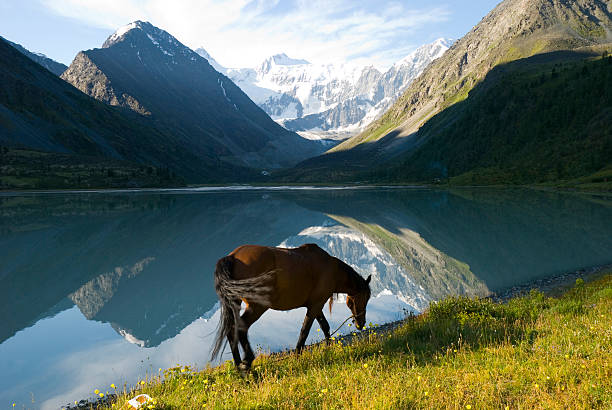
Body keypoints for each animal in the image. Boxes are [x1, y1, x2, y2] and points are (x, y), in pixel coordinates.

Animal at [210, 243, 372, 372]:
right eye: (366, 297)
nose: (361, 323)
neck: (331, 270)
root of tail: (232, 257)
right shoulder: (315, 305)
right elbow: (305, 331)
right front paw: (298, 356)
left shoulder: (316, 305)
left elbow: (324, 326)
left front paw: (329, 348)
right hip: (258, 306)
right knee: (240, 327)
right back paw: (247, 363)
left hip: (236, 303)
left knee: (231, 330)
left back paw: (238, 366)